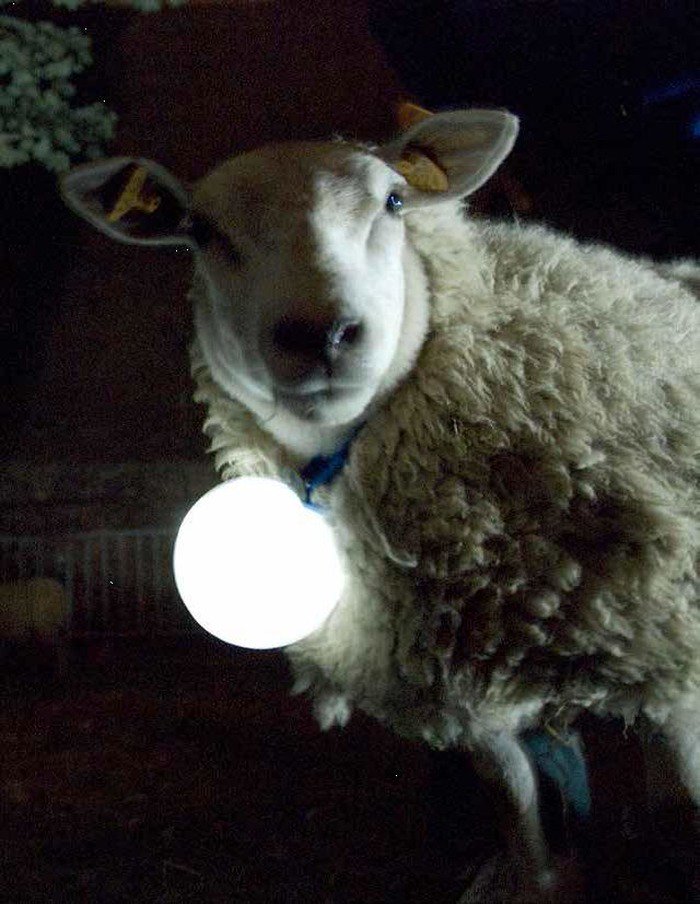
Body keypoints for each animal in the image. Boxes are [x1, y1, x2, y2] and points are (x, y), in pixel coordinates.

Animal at [60, 106, 700, 899]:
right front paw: (535, 876)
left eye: (395, 201)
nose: (321, 333)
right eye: (201, 232)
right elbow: (522, 811)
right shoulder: (460, 690)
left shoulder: (670, 662)